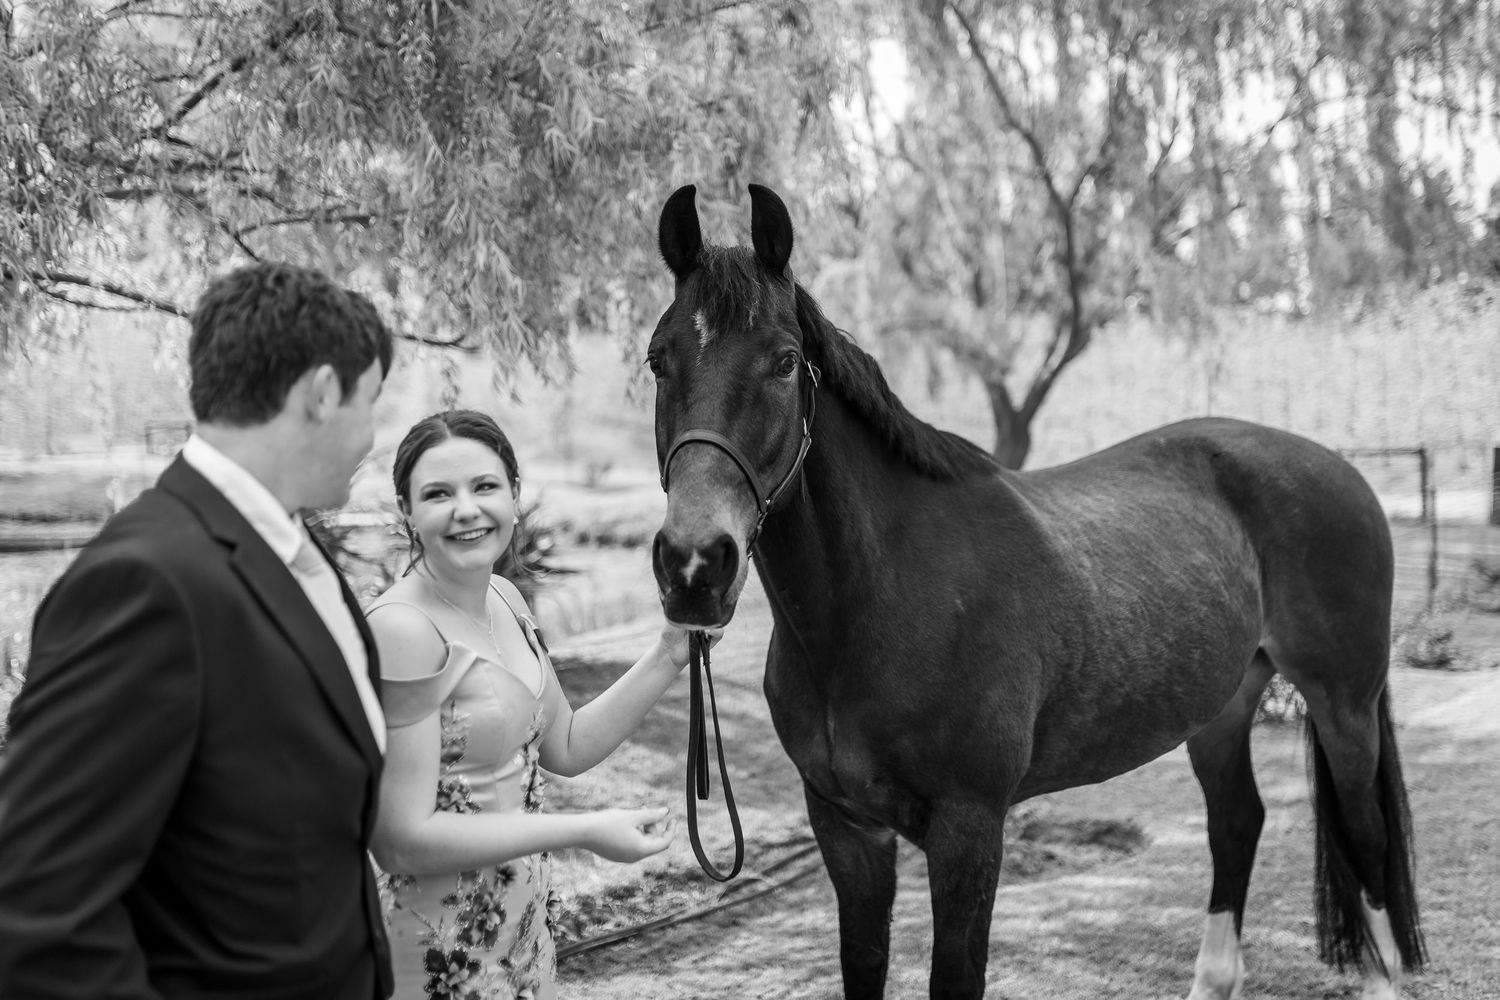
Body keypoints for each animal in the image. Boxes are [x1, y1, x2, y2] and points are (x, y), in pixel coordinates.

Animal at [646, 183, 1425, 1000]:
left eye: (786, 361)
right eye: (657, 360)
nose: (695, 565)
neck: (878, 604)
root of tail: (1338, 465)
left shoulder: (969, 829)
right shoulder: (845, 827)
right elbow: (863, 965)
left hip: (1344, 704)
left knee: (1367, 836)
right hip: (1222, 706)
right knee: (1237, 823)